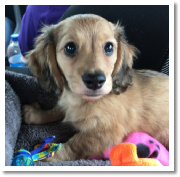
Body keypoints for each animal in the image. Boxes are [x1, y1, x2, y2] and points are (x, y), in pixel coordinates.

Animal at [22, 14, 169, 162]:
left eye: (109, 47)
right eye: (70, 48)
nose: (95, 81)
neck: (80, 100)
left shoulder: (107, 133)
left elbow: (73, 144)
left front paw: (47, 156)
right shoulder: (66, 106)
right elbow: (56, 111)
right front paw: (34, 113)